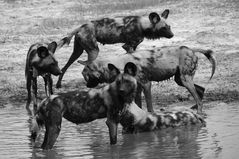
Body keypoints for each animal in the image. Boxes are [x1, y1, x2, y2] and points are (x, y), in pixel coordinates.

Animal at [78, 45, 217, 113]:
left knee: (199, 97)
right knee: (201, 91)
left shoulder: (146, 84)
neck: (121, 64)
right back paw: (194, 108)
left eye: (85, 76)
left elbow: (149, 106)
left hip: (184, 80)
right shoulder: (138, 87)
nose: (86, 85)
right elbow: (139, 105)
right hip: (181, 80)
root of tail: (191, 49)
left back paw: (198, 111)